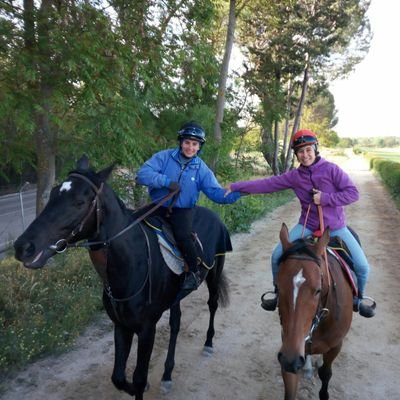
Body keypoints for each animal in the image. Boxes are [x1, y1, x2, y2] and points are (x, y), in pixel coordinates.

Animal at [14, 155, 231, 398]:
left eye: (79, 202)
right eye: (52, 194)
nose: (23, 247)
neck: (132, 262)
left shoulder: (147, 329)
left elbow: (139, 378)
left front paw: (142, 385)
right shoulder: (121, 325)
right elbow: (118, 377)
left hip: (214, 274)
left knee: (212, 304)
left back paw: (208, 343)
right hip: (176, 296)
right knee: (176, 323)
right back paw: (167, 375)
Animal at [276, 223, 352, 398]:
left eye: (318, 290)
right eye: (277, 286)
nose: (290, 360)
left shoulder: (335, 346)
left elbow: (325, 373)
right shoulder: (289, 349)